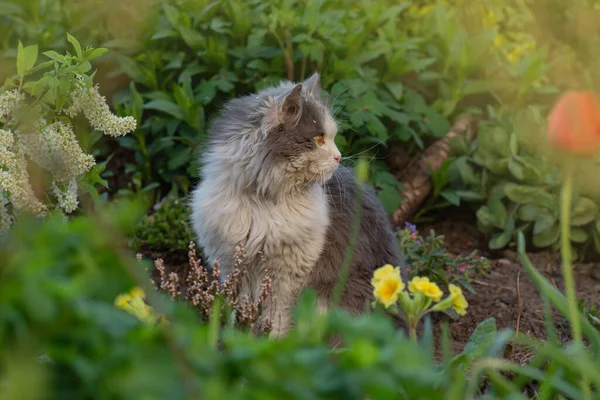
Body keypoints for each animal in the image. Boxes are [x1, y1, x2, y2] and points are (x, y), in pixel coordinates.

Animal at [190, 73, 406, 336]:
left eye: (331, 138)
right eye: (318, 139)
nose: (339, 157)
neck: (261, 201)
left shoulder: (286, 276)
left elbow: (276, 318)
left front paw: (271, 341)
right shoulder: (233, 266)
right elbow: (240, 312)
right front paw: (237, 337)